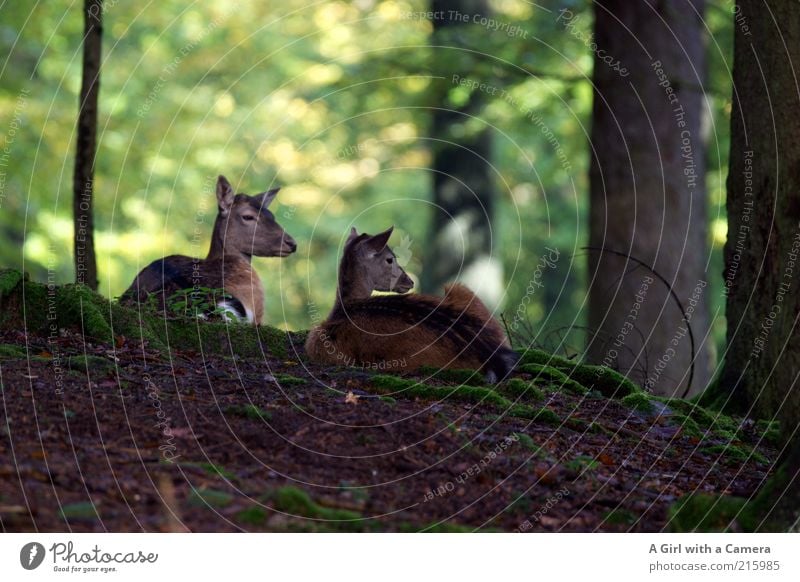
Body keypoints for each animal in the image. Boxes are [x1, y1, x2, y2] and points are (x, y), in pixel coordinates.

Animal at [304, 227, 520, 384]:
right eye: (389, 259)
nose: (409, 281)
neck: (345, 307)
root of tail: (492, 357)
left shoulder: (320, 345)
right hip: (463, 291)